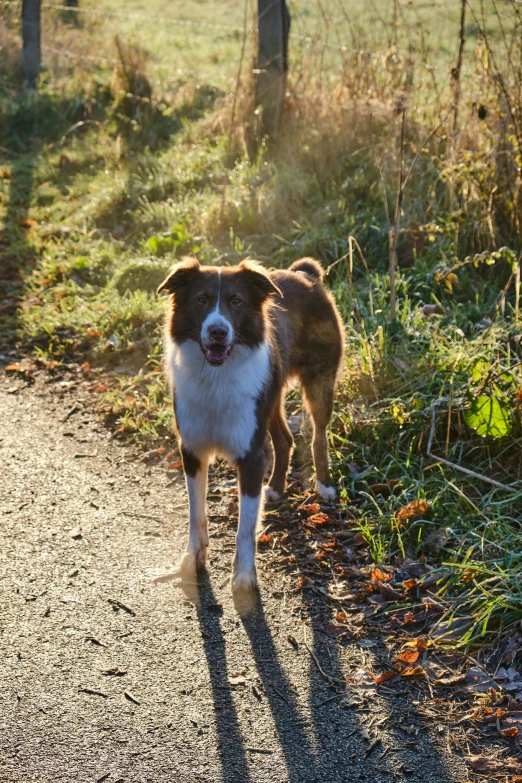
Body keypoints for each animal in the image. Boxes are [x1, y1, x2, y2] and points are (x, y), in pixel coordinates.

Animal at [156, 258, 344, 596]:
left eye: (236, 301)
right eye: (201, 299)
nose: (218, 331)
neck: (216, 376)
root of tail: (305, 274)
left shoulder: (251, 455)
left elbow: (245, 527)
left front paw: (243, 577)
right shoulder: (191, 450)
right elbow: (195, 513)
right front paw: (194, 557)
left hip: (319, 382)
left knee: (318, 436)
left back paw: (323, 485)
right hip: (269, 398)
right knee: (284, 439)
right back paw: (276, 487)